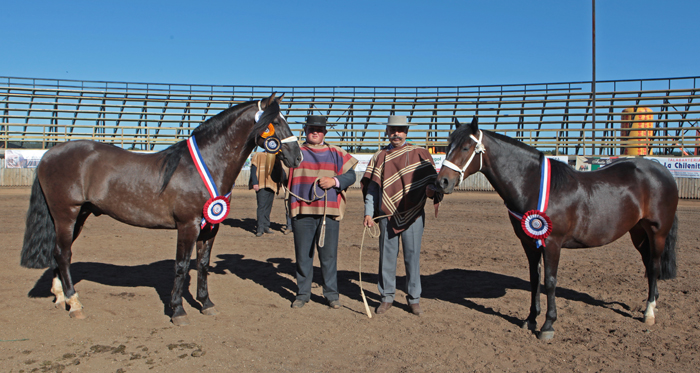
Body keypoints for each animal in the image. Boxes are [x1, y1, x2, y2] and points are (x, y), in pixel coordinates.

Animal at [20, 91, 300, 324]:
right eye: (276, 121)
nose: (297, 156)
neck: (206, 165)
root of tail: (49, 154)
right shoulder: (187, 226)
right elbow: (181, 265)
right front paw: (178, 310)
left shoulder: (210, 227)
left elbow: (203, 264)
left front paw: (206, 303)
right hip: (66, 214)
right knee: (63, 254)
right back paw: (75, 303)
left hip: (79, 214)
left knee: (58, 252)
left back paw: (61, 298)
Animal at [434, 117, 676, 340]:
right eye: (448, 146)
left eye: (466, 147)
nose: (442, 181)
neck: (534, 185)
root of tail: (661, 170)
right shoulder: (529, 243)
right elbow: (535, 279)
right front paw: (531, 319)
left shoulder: (552, 243)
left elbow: (550, 281)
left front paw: (547, 325)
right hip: (639, 233)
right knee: (648, 265)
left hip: (657, 233)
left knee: (653, 267)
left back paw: (649, 313)